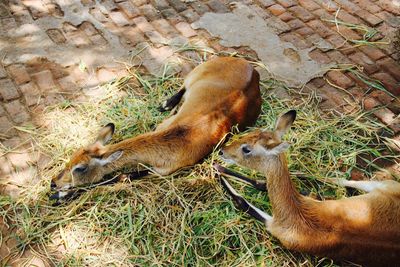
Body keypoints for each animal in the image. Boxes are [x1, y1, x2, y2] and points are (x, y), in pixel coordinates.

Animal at [50, 57, 262, 201]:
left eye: (80, 168)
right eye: (71, 157)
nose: (53, 183)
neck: (177, 138)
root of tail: (253, 70)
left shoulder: (162, 171)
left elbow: (121, 176)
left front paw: (63, 196)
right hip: (194, 75)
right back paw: (166, 104)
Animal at [214, 110, 400, 266]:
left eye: (247, 149)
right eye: (253, 131)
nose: (221, 151)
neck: (297, 214)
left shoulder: (272, 224)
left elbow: (242, 200)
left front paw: (217, 171)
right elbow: (260, 184)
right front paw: (217, 168)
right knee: (340, 179)